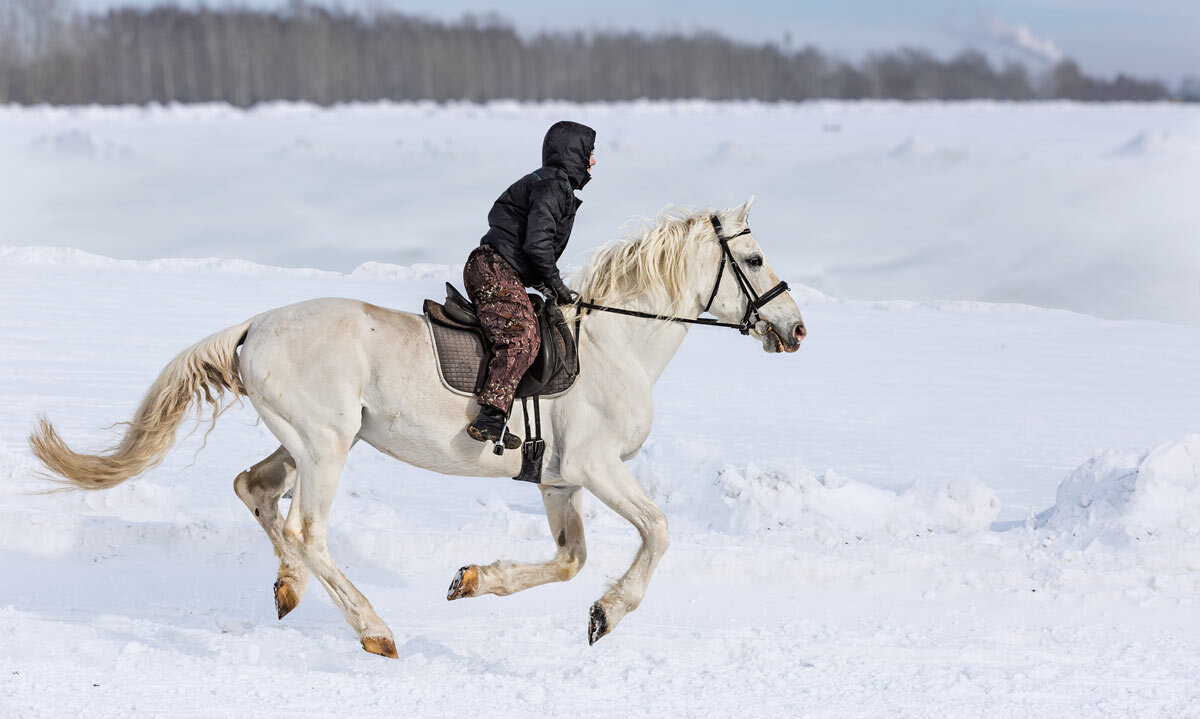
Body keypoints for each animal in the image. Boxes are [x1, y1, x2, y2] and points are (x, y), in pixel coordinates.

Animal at [28, 196, 811, 657]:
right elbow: (657, 531)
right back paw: (374, 630)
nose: (797, 329)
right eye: (753, 258)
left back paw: (290, 589)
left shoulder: (558, 480)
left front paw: (471, 579)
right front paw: (608, 615)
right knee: (307, 529)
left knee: (255, 489)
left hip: (308, 440)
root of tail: (254, 327)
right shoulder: (597, 468)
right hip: (325, 447)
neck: (617, 343)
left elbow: (569, 558)